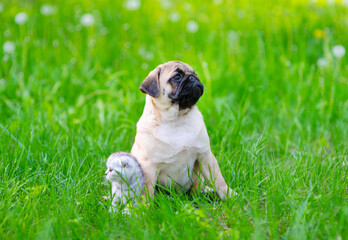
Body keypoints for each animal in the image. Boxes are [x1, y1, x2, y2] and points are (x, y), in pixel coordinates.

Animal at [131, 61, 237, 200]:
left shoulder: (205, 155)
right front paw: (145, 205)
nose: (193, 78)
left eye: (194, 73)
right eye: (177, 77)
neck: (177, 119)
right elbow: (147, 192)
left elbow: (218, 179)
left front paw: (229, 194)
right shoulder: (148, 167)